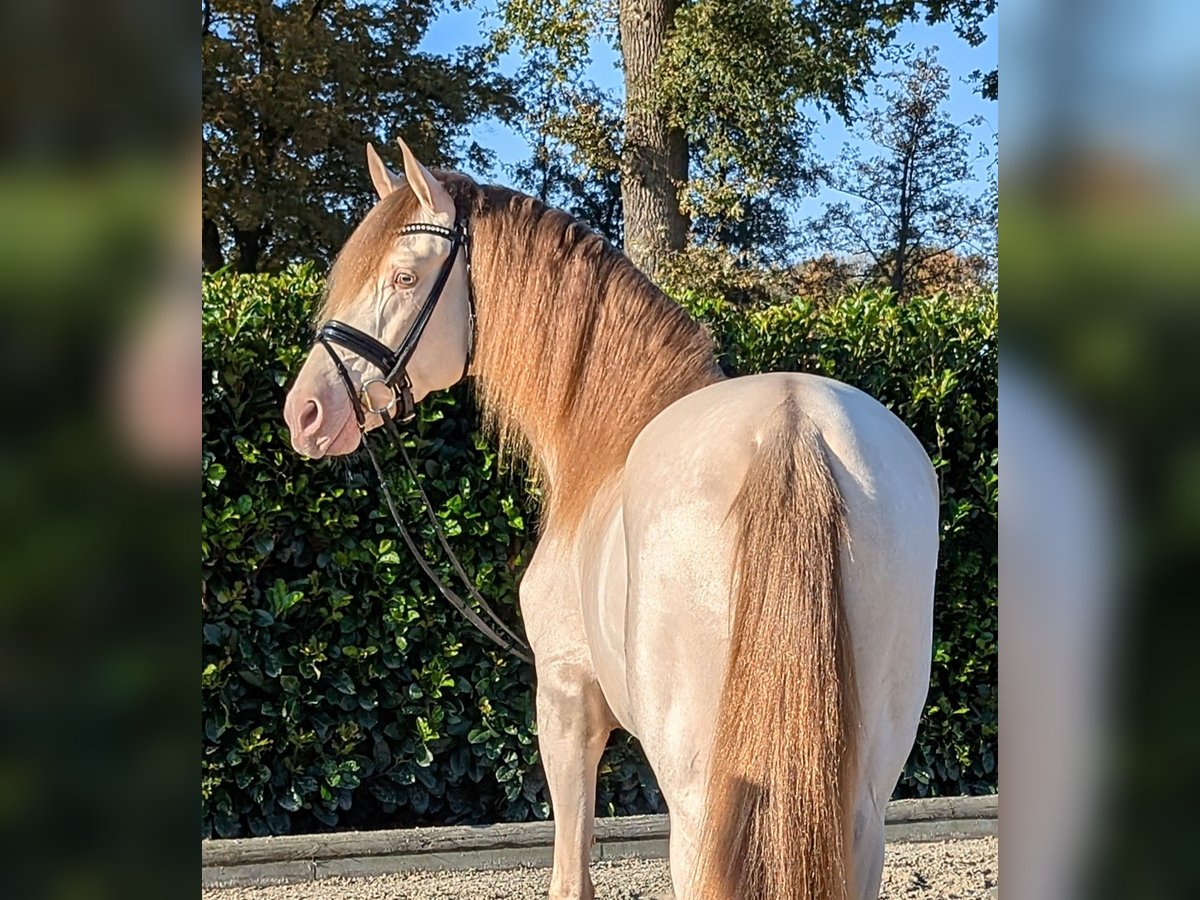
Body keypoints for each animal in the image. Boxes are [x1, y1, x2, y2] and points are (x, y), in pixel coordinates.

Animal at [280, 137, 936, 897]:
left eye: (404, 277)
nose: (306, 412)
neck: (605, 446)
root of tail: (791, 422)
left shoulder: (567, 701)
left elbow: (572, 876)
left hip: (699, 801)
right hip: (858, 807)